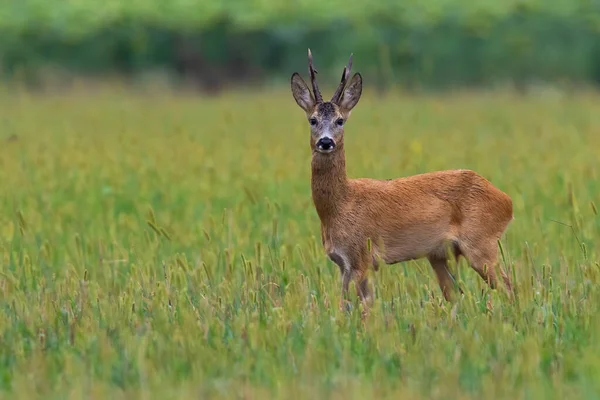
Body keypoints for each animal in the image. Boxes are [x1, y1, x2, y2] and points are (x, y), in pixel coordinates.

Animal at [288, 49, 512, 306]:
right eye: (312, 120)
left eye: (340, 120)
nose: (326, 142)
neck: (341, 205)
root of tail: (507, 201)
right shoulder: (343, 263)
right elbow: (343, 305)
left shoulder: (362, 257)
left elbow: (366, 307)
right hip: (439, 254)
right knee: (457, 295)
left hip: (481, 244)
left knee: (508, 287)